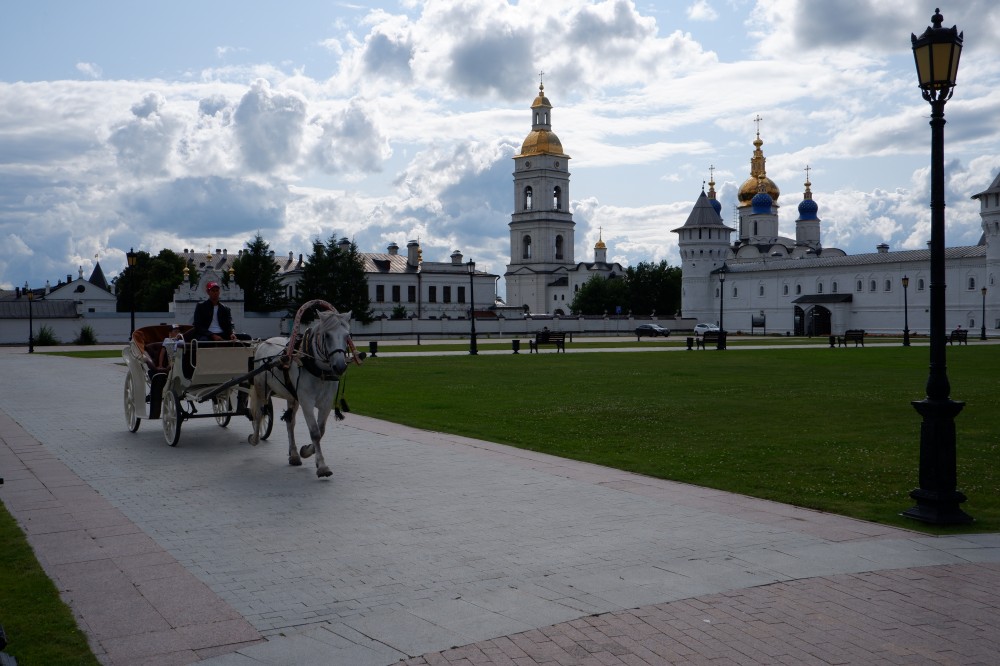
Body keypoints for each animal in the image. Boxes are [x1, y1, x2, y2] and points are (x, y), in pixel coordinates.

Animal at [249, 308, 356, 474]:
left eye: (347, 335)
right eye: (327, 335)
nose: (340, 366)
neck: (319, 372)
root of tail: (263, 343)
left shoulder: (326, 403)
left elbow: (321, 430)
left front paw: (306, 451)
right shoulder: (306, 401)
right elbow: (315, 432)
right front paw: (322, 466)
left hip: (291, 396)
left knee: (290, 422)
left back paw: (293, 455)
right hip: (262, 388)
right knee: (260, 413)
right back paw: (254, 439)